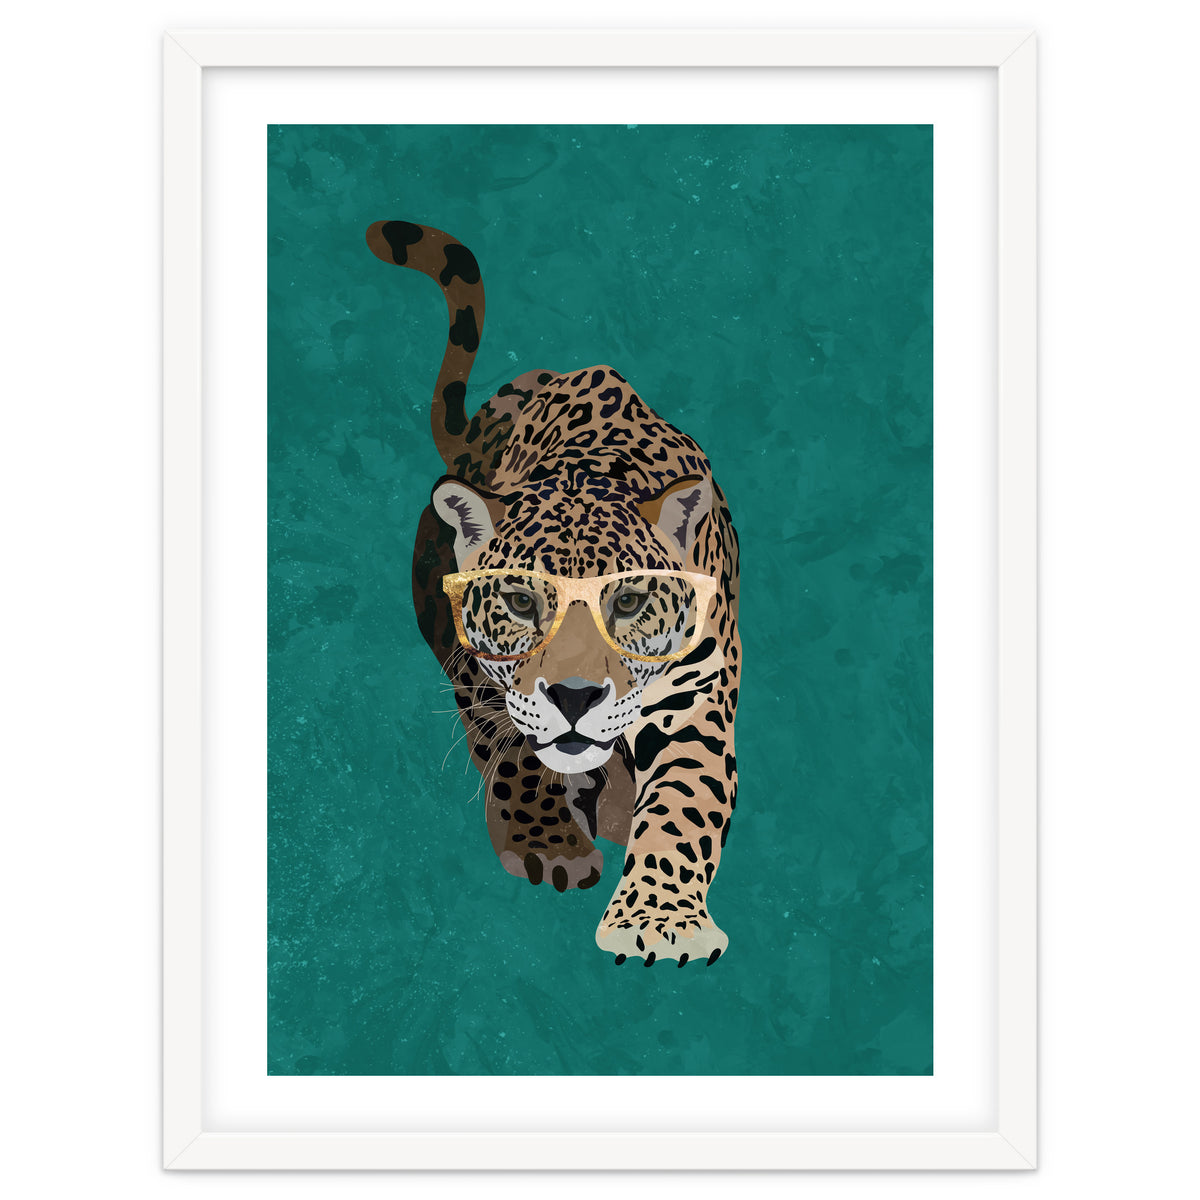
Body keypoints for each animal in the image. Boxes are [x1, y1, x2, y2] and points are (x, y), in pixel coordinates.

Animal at [366, 220, 741, 966]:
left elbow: (684, 803)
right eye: (520, 602)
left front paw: (659, 921)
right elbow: (514, 752)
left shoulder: (696, 695)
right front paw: (549, 844)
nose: (574, 697)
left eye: (626, 602)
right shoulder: (482, 673)